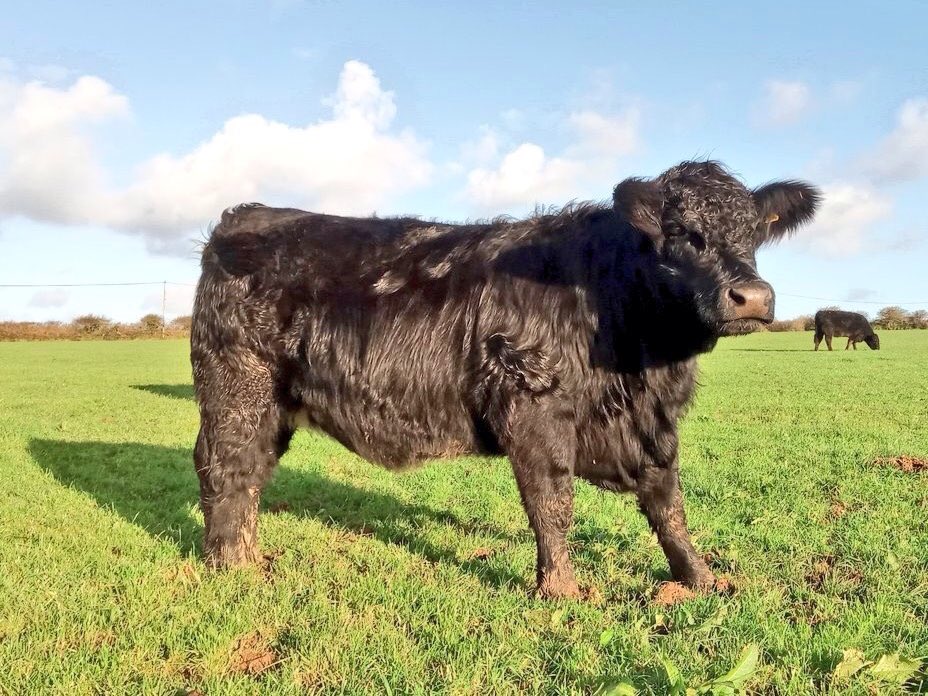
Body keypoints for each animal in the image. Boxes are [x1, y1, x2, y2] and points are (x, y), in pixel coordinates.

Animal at [191, 160, 820, 599]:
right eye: (685, 233)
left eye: (755, 234)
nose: (752, 297)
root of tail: (244, 216)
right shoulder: (535, 405)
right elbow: (552, 500)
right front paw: (563, 591)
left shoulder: (648, 428)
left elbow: (668, 503)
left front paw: (702, 578)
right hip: (237, 390)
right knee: (227, 468)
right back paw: (234, 569)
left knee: (248, 474)